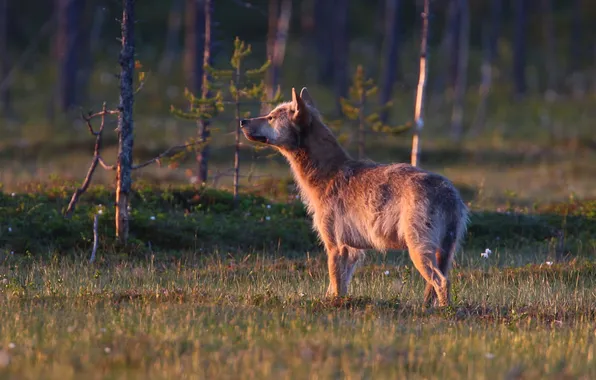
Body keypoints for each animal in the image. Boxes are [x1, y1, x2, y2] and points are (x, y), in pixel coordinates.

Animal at [240, 87, 468, 308]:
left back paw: (445, 312)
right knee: (434, 286)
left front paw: (336, 307)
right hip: (441, 254)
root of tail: (449, 192)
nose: (242, 121)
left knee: (442, 282)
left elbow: (336, 287)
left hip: (418, 251)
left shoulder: (335, 248)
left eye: (270, 117)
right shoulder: (351, 252)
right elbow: (335, 288)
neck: (327, 174)